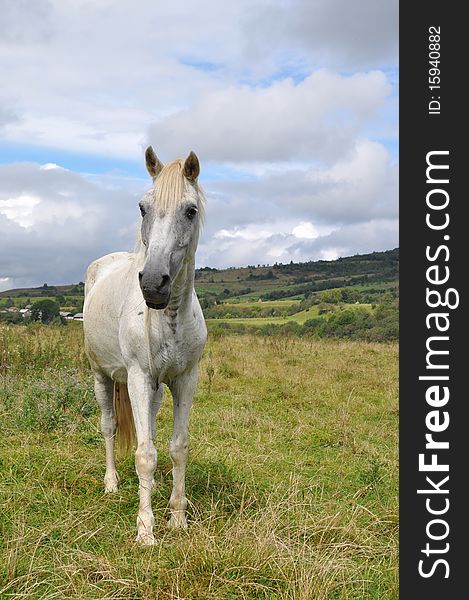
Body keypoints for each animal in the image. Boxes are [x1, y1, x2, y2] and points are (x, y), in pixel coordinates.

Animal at [83, 145, 207, 544]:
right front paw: (145, 531)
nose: (153, 283)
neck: (170, 316)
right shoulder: (138, 377)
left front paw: (178, 517)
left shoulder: (184, 380)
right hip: (102, 377)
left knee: (146, 428)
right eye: (142, 208)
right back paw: (111, 483)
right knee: (109, 426)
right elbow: (144, 455)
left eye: (190, 210)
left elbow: (177, 447)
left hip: (153, 389)